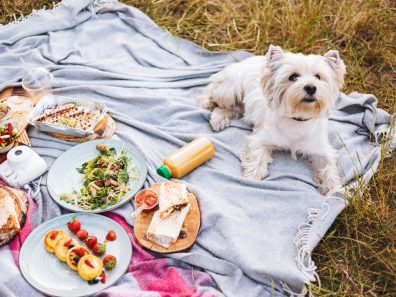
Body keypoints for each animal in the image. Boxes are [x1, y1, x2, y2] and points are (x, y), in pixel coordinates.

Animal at [203, 45, 344, 194]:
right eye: (293, 77)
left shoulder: (321, 149)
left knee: (233, 108)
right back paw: (213, 112)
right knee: (215, 97)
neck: (298, 118)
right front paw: (253, 177)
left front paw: (333, 187)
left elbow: (328, 166)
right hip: (230, 90)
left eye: (318, 76)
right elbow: (257, 156)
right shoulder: (260, 139)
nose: (311, 87)